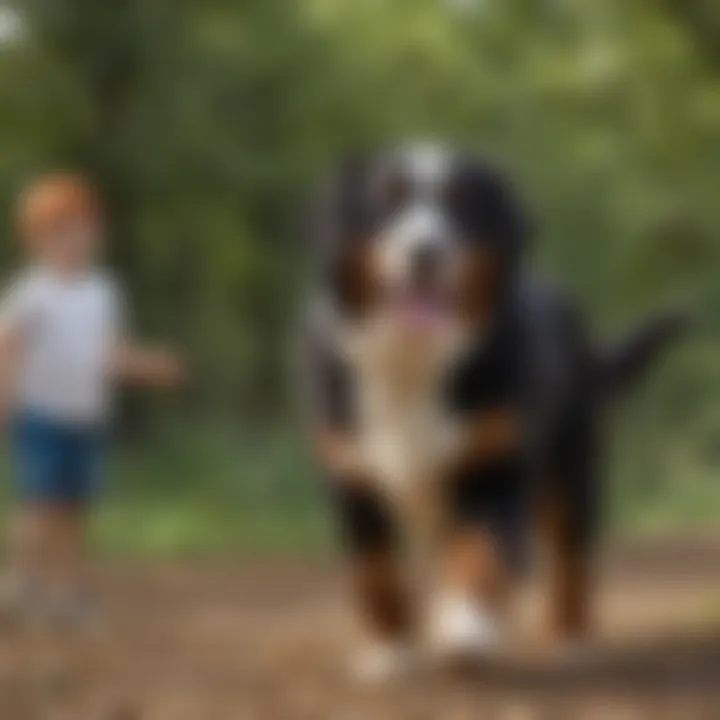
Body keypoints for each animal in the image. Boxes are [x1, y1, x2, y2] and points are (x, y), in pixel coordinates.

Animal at [300, 142, 684, 680]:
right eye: (386, 202)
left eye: (461, 207)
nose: (426, 252)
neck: (415, 362)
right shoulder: (353, 477)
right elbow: (375, 573)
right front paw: (389, 652)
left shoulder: (496, 465)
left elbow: (480, 552)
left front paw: (464, 628)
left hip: (571, 472)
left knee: (571, 559)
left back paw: (570, 640)